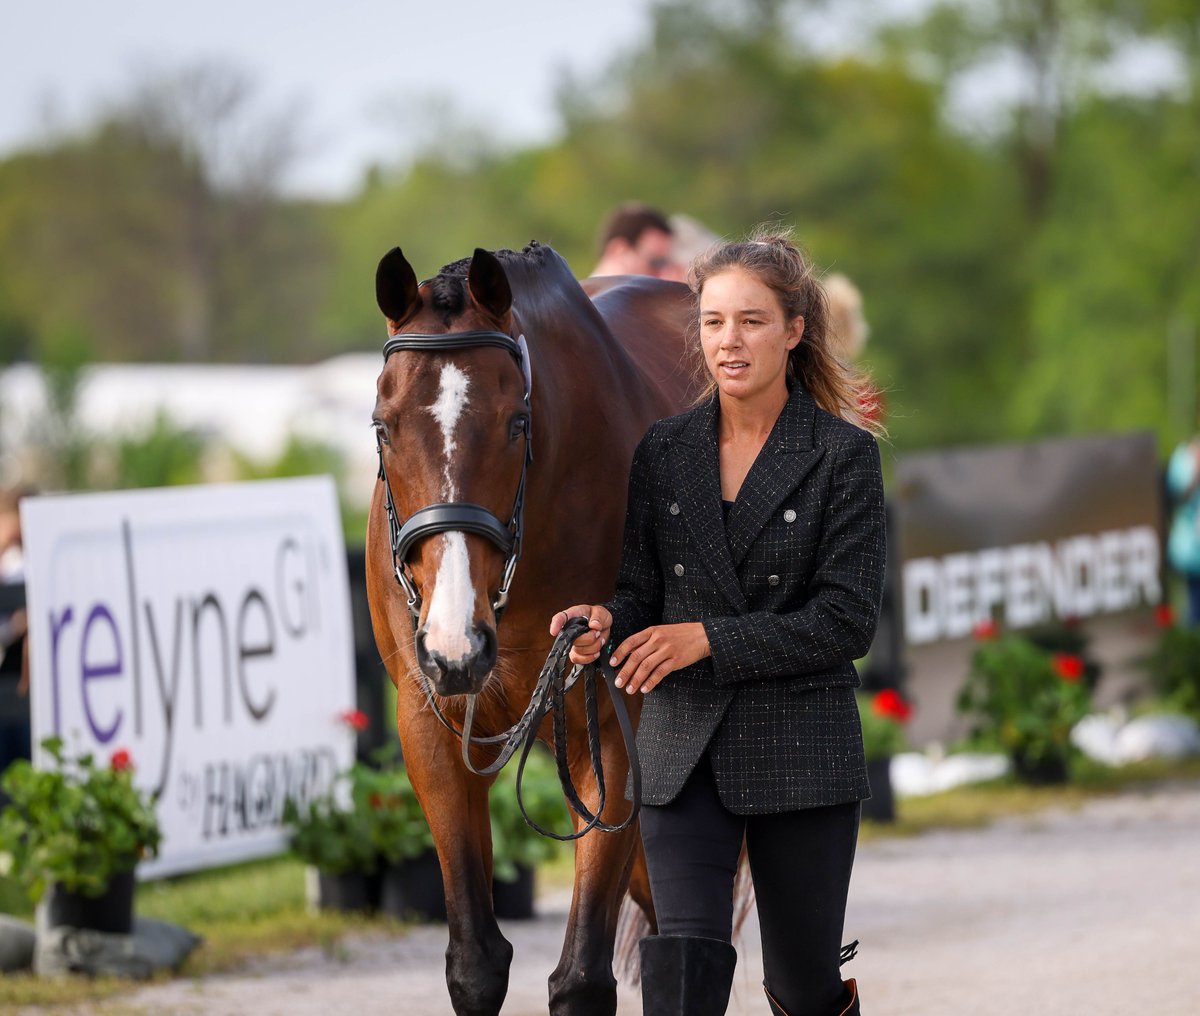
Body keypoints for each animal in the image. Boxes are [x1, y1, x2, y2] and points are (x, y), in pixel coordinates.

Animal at [369, 244, 700, 1016]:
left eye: (516, 424)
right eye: (383, 425)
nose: (456, 646)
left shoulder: (614, 732)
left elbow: (582, 978)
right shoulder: (430, 726)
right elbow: (476, 963)